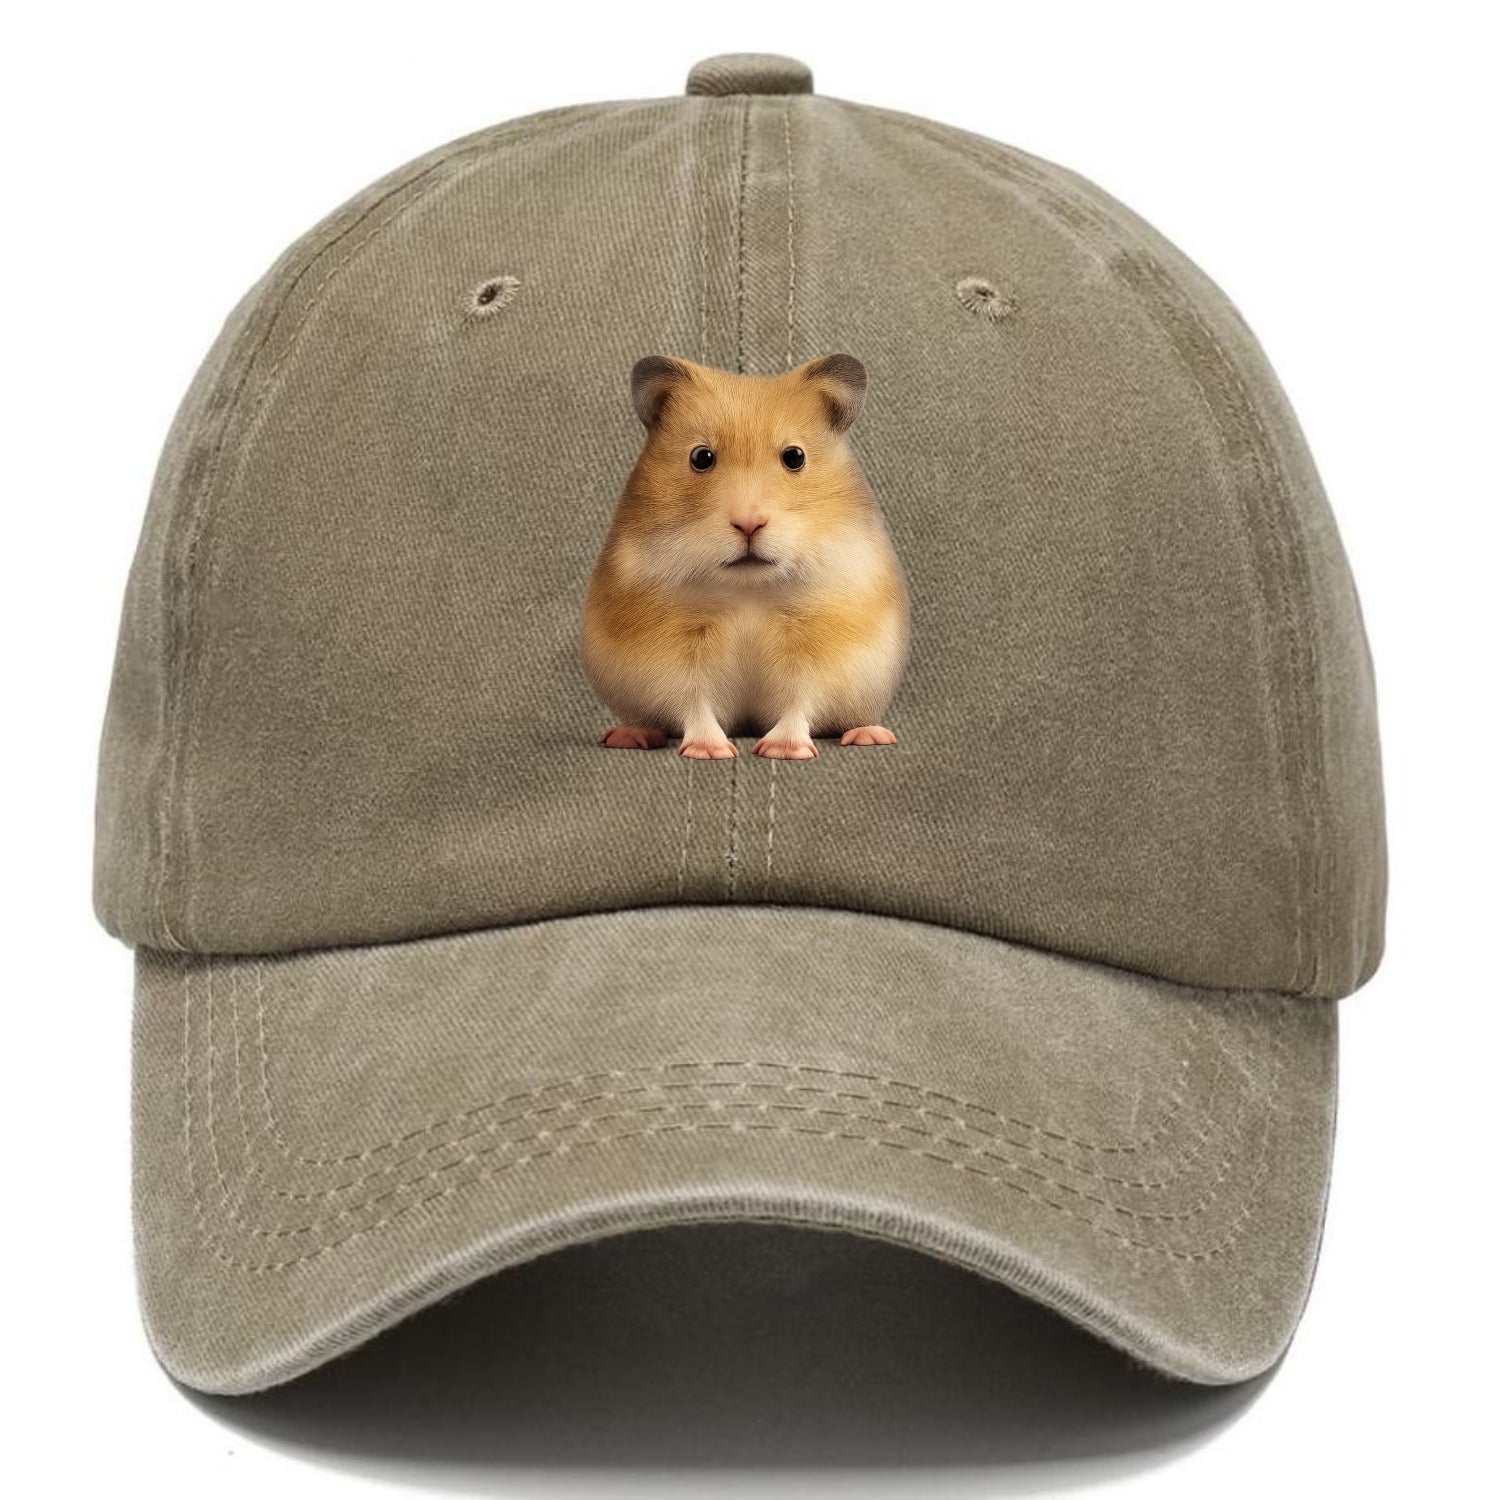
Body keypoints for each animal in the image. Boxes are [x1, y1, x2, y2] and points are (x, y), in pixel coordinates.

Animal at [582, 353, 909, 760]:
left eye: (795, 456)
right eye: (701, 457)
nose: (748, 523)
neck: (747, 588)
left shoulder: (818, 649)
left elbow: (800, 700)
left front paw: (782, 751)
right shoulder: (673, 656)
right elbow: (693, 701)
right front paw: (710, 751)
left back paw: (871, 735)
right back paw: (629, 736)